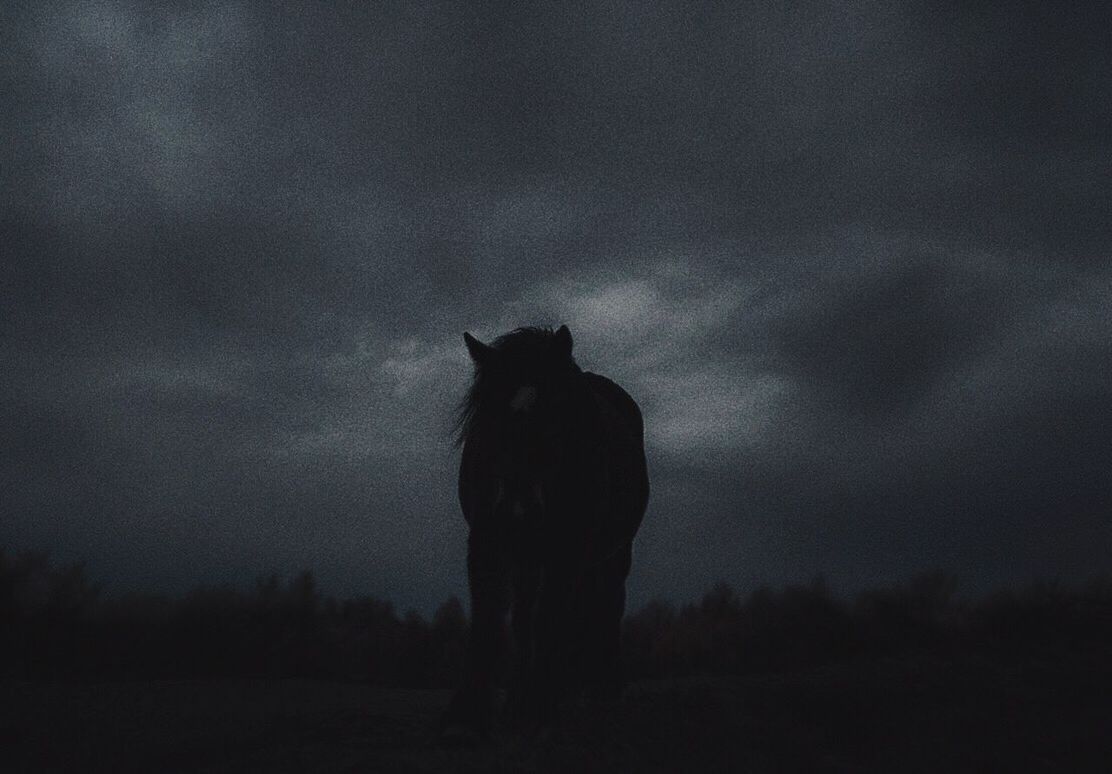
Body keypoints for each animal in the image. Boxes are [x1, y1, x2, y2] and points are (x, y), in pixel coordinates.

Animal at [440, 322, 649, 742]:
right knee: (526, 618)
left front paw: (537, 712)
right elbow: (488, 618)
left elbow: (550, 619)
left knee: (606, 605)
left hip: (611, 555)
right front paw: (468, 717)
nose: (517, 506)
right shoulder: (487, 541)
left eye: (555, 414)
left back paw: (600, 690)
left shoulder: (566, 549)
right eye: (485, 422)